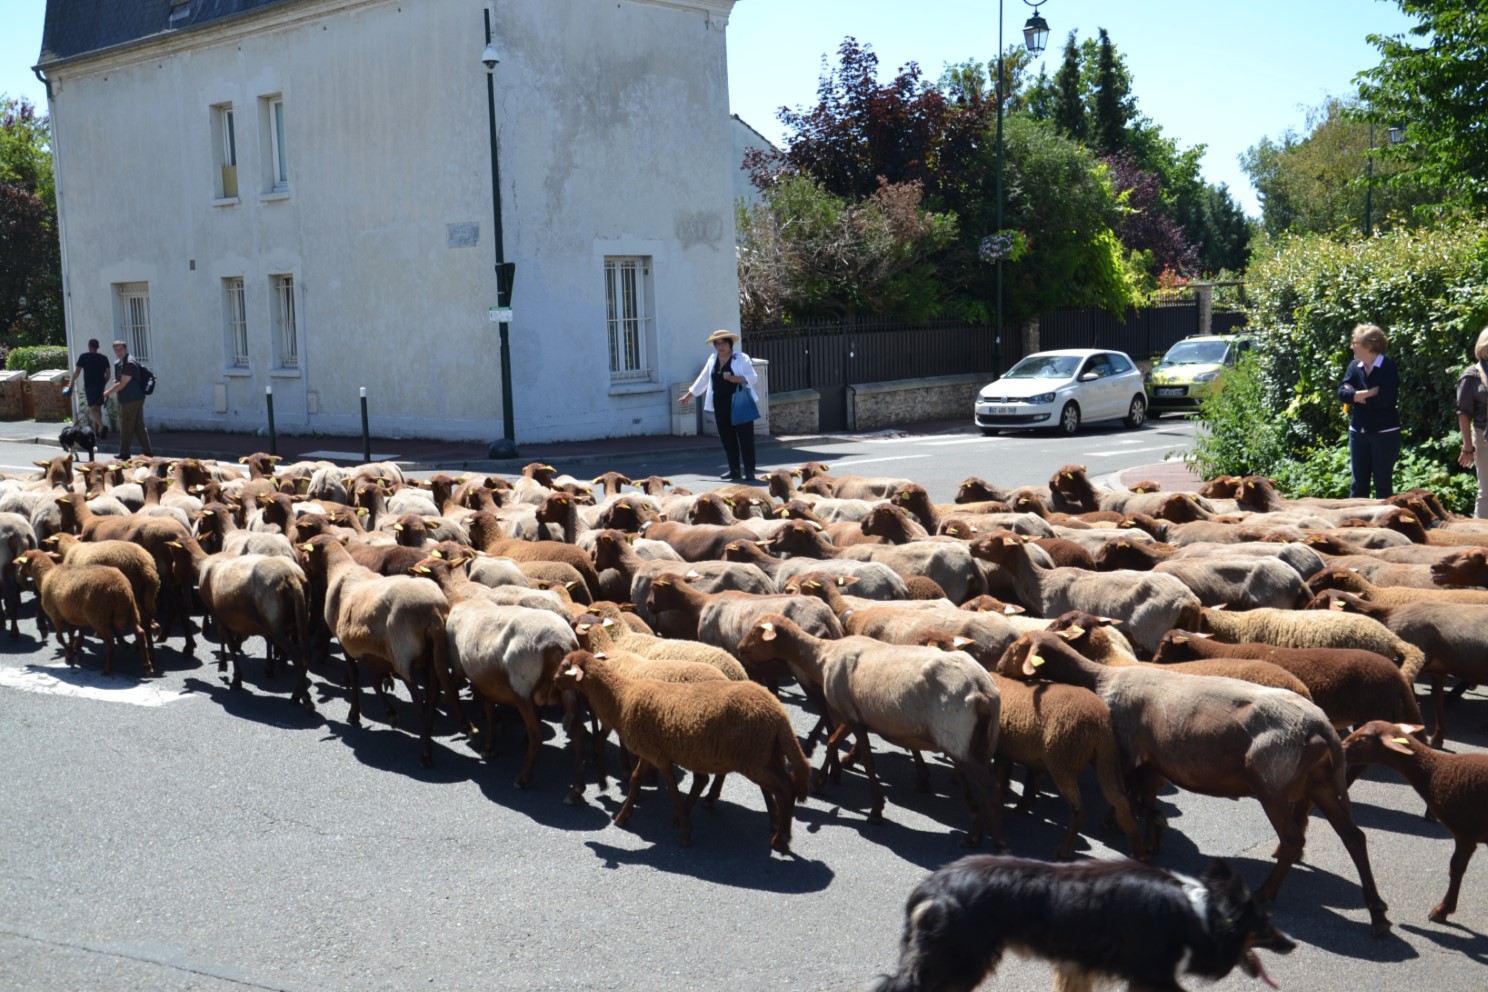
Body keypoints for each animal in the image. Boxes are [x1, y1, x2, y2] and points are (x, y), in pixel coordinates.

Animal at [868, 856, 1291, 992]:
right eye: (1266, 924)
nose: (1291, 944)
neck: (1200, 913)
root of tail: (927, 889)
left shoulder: (1079, 967)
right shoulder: (1151, 975)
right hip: (960, 960)